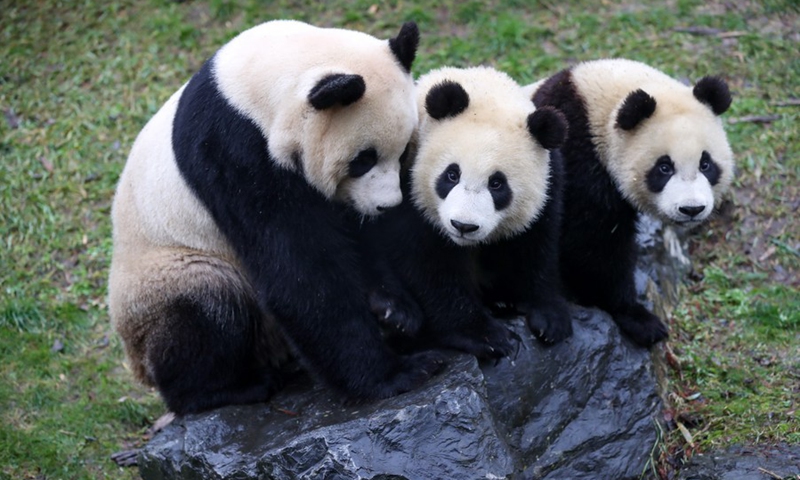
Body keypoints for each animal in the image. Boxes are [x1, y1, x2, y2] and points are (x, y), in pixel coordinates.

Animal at [108, 19, 444, 416]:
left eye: (405, 151)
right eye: (363, 159)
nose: (387, 205)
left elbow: (350, 237)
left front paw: (395, 310)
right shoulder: (234, 152)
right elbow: (298, 268)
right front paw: (393, 375)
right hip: (165, 273)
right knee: (207, 308)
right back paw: (228, 389)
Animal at [362, 66, 576, 356]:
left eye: (497, 184)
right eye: (452, 175)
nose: (463, 226)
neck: (484, 91)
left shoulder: (550, 183)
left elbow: (535, 245)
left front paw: (549, 316)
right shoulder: (404, 182)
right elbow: (427, 264)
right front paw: (486, 336)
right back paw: (394, 314)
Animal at [520, 58, 736, 346]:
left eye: (706, 164)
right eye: (664, 167)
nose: (691, 209)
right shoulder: (576, 158)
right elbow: (593, 244)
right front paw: (638, 318)